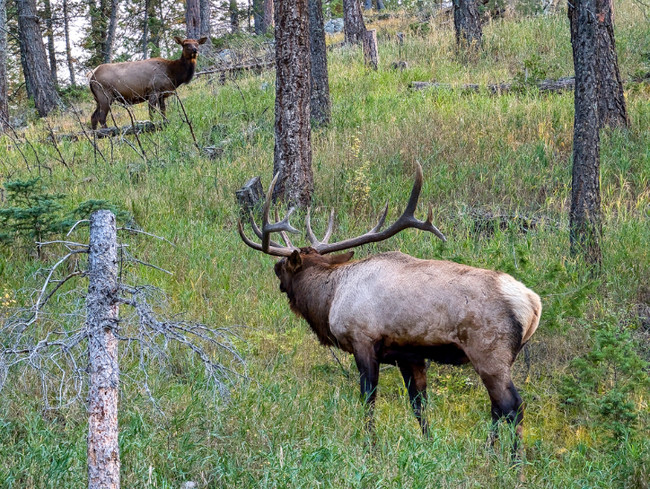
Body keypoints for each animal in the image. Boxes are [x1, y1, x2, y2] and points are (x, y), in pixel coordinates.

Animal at [235, 165, 540, 454]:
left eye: (284, 266)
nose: (275, 269)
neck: (330, 298)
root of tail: (533, 304)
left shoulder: (363, 340)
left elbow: (369, 399)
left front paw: (369, 445)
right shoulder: (409, 354)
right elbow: (419, 405)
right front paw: (428, 444)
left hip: (489, 352)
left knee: (512, 406)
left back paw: (512, 462)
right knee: (498, 408)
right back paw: (489, 452)